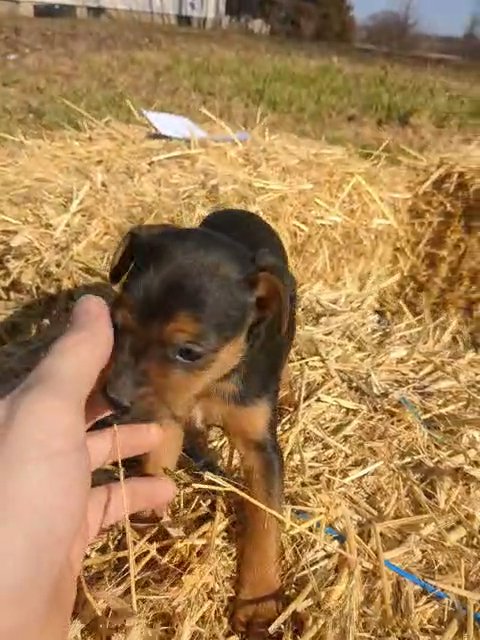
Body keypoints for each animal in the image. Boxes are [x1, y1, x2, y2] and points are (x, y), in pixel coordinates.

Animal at [103, 209, 294, 636]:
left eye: (188, 351)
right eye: (116, 324)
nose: (113, 398)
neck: (211, 381)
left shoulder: (261, 448)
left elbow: (265, 522)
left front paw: (259, 602)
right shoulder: (167, 415)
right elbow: (156, 464)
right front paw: (151, 522)